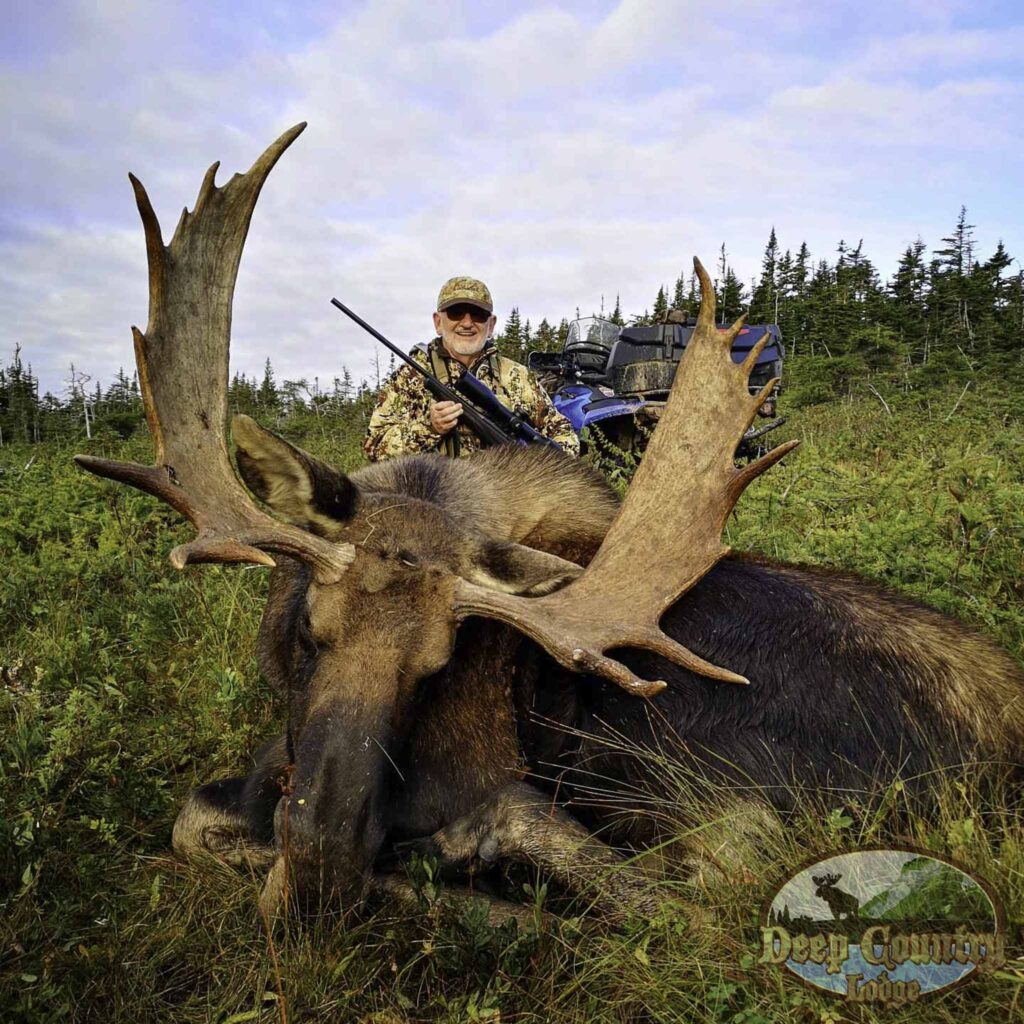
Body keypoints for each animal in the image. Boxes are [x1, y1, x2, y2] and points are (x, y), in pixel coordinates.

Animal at [76, 124, 1024, 923]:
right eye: (310, 629)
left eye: (438, 667)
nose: (321, 870)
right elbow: (194, 817)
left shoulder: (467, 769)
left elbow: (203, 820)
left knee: (680, 902)